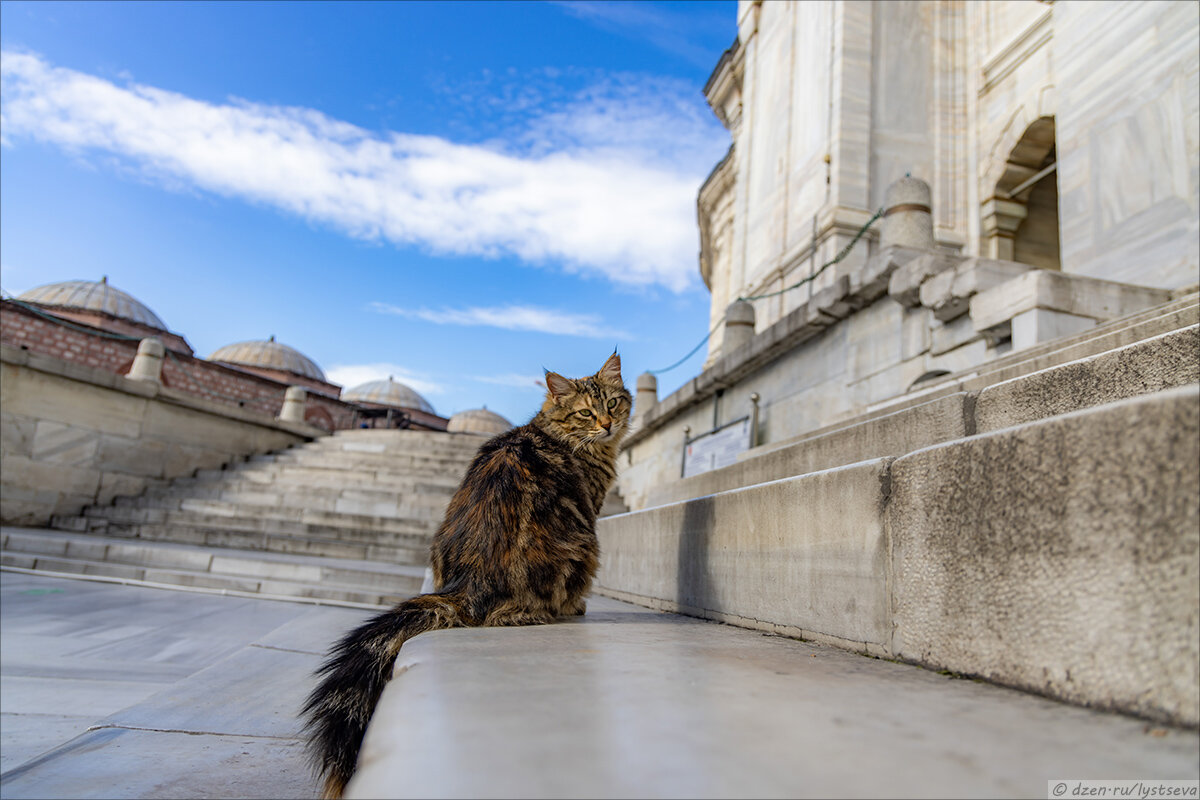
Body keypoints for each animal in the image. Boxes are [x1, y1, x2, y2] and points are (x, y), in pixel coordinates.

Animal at [300, 352, 633, 796]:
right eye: (585, 413)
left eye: (612, 404)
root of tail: (469, 584)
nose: (608, 424)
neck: (559, 433)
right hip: (585, 545)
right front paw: (579, 607)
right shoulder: (591, 507)